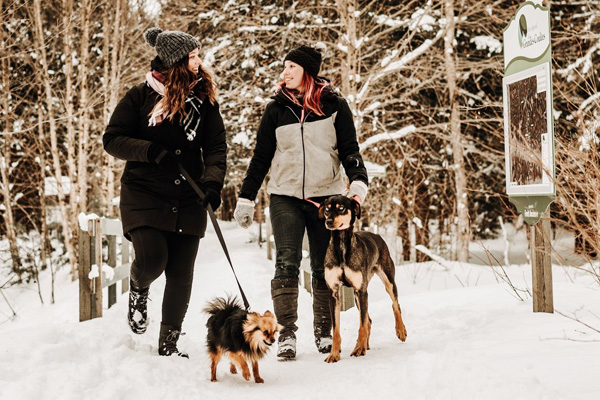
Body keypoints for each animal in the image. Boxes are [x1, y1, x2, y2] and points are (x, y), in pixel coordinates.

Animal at [318, 195, 408, 364]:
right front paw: (334, 354)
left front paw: (359, 348)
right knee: (369, 320)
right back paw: (366, 344)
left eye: (341, 208)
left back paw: (400, 330)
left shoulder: (361, 290)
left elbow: (361, 325)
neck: (341, 246)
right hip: (357, 296)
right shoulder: (334, 293)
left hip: (387, 281)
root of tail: (377, 235)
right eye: (327, 209)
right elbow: (336, 328)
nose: (329, 222)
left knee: (395, 305)